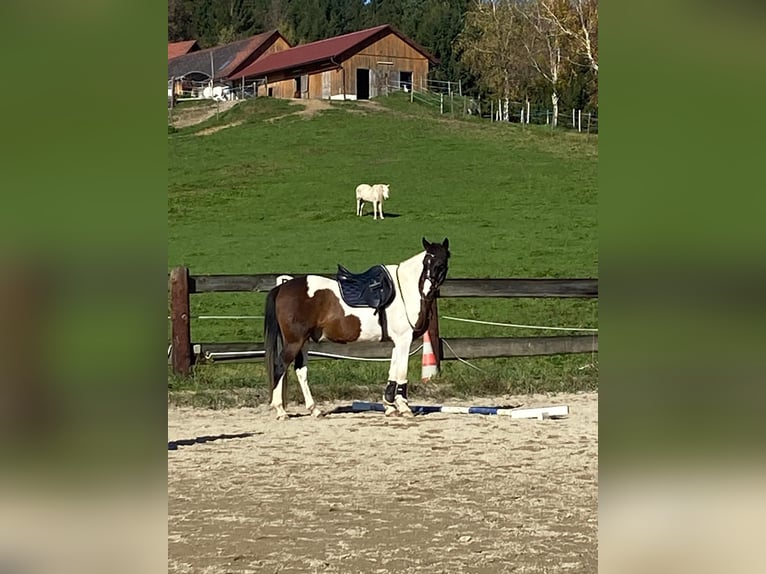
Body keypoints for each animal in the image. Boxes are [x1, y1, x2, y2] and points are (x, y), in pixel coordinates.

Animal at [264, 237, 450, 420]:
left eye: (441, 263)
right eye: (426, 262)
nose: (427, 291)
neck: (404, 289)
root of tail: (282, 288)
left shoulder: (397, 341)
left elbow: (393, 373)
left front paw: (389, 406)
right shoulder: (404, 339)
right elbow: (401, 373)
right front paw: (404, 407)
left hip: (304, 341)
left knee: (301, 371)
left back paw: (314, 409)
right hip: (294, 342)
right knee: (280, 366)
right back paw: (280, 410)